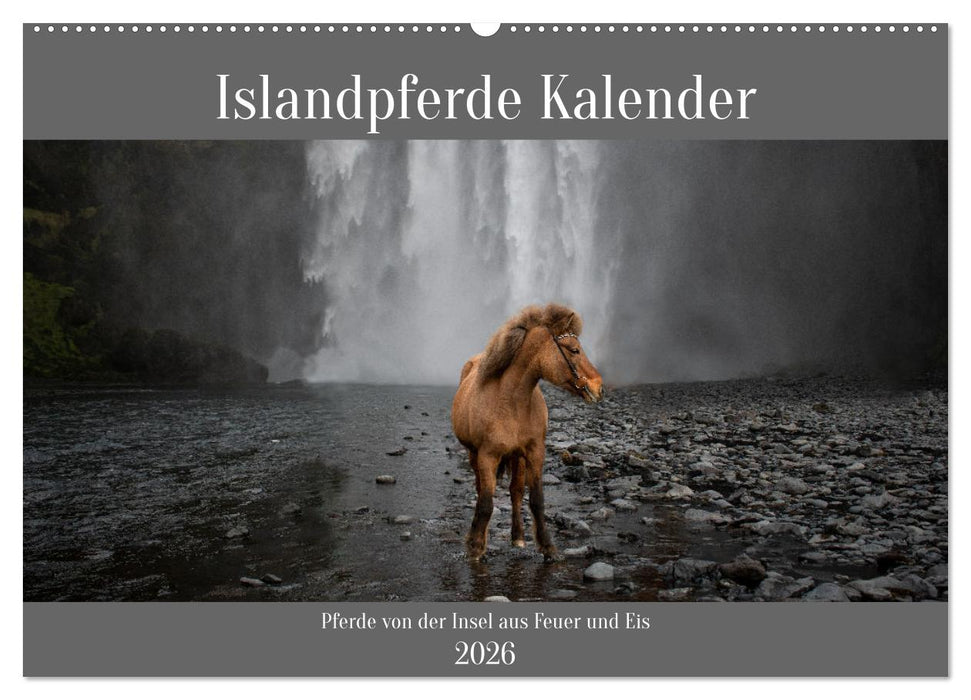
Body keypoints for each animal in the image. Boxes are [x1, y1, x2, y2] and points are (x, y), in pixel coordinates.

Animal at [451, 303, 605, 562]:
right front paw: (476, 546)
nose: (598, 387)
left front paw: (547, 546)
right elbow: (486, 502)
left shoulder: (535, 452)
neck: (511, 402)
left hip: (518, 457)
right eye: (574, 350)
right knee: (481, 490)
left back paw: (518, 537)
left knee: (515, 492)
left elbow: (536, 499)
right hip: (474, 455)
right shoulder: (487, 456)